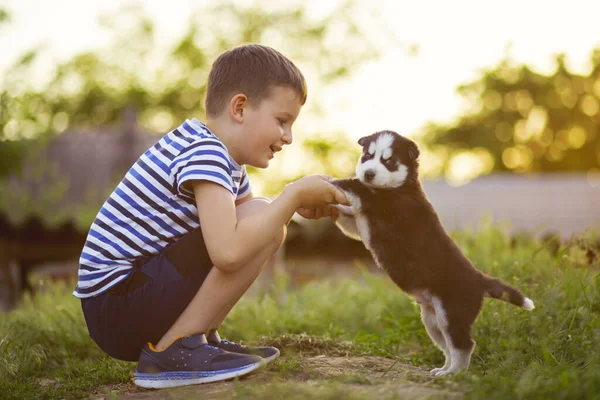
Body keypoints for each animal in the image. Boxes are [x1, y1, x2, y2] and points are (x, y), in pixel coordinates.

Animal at [332, 130, 536, 376]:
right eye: (367, 156)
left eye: (388, 161)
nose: (368, 174)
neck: (399, 187)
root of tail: (479, 280)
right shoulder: (357, 222)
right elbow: (346, 215)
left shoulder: (383, 203)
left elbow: (355, 188)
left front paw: (327, 180)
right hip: (433, 321)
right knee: (448, 347)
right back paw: (442, 369)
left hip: (452, 314)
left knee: (464, 345)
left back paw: (453, 373)